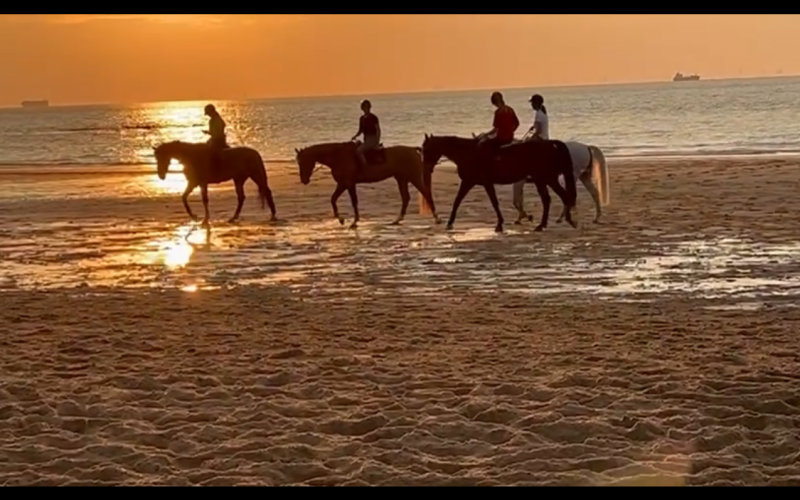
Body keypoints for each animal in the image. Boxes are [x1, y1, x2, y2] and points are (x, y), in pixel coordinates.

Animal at [296, 139, 440, 229]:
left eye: (303, 162)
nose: (304, 180)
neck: (338, 156)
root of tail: (412, 150)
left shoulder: (348, 184)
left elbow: (353, 202)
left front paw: (354, 222)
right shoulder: (342, 184)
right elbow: (333, 199)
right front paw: (341, 219)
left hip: (413, 177)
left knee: (426, 193)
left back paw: (437, 218)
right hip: (401, 178)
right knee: (406, 198)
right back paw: (397, 220)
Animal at [422, 134, 580, 233]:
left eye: (426, 150)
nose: (427, 168)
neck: (468, 153)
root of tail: (550, 144)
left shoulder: (483, 182)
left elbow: (494, 202)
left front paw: (499, 224)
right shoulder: (468, 182)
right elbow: (457, 200)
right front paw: (449, 223)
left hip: (546, 178)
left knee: (561, 197)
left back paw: (563, 221)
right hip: (542, 179)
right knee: (551, 199)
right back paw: (548, 224)